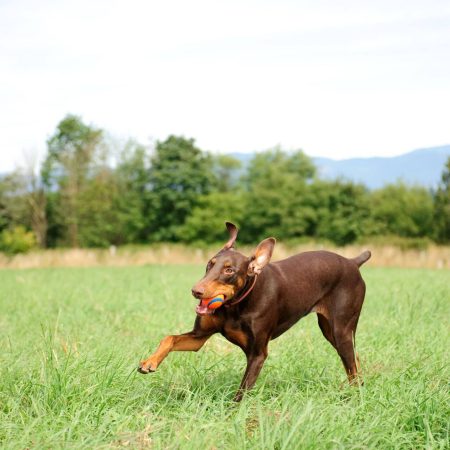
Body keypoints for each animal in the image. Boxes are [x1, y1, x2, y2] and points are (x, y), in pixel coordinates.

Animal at [139, 222, 370, 400]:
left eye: (229, 270)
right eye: (209, 264)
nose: (196, 291)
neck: (235, 306)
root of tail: (352, 262)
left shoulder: (257, 354)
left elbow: (241, 392)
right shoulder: (199, 337)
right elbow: (169, 338)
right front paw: (149, 362)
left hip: (341, 329)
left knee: (351, 364)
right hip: (330, 330)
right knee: (355, 360)